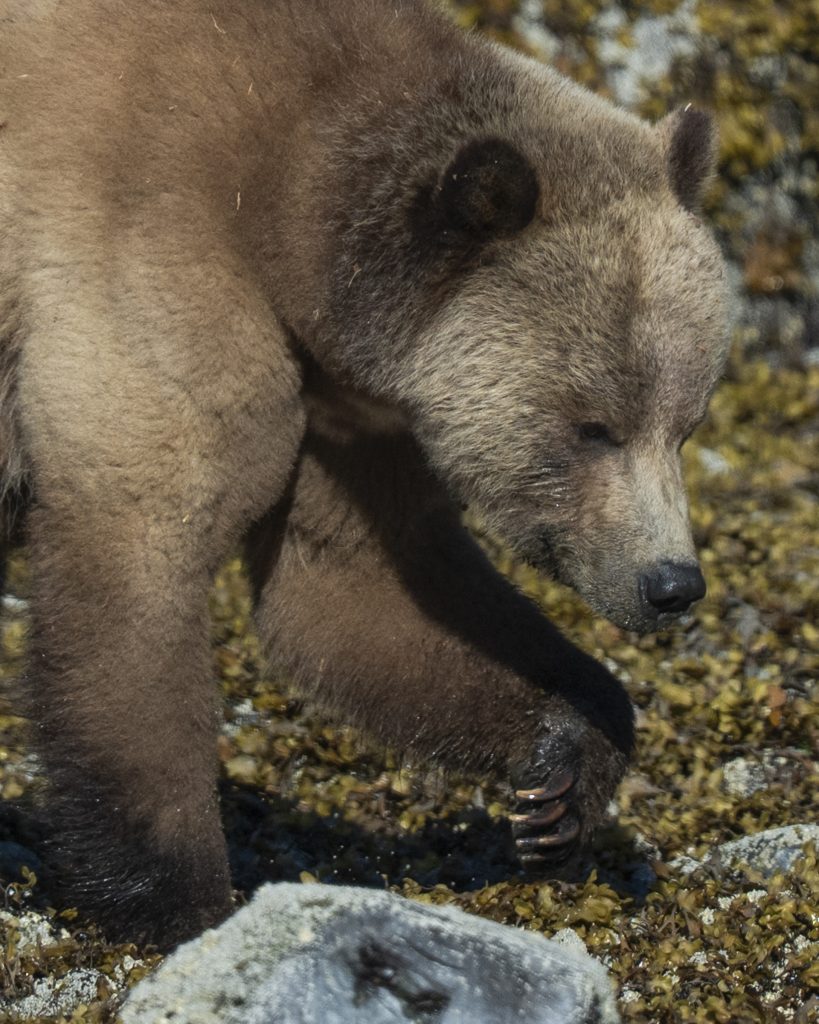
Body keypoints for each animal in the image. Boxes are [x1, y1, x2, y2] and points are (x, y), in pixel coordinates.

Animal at [0, 0, 729, 948]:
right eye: (591, 425)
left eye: (686, 422)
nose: (670, 583)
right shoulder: (151, 277)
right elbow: (140, 580)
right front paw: (180, 897)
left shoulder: (346, 413)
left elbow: (353, 589)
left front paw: (564, 777)